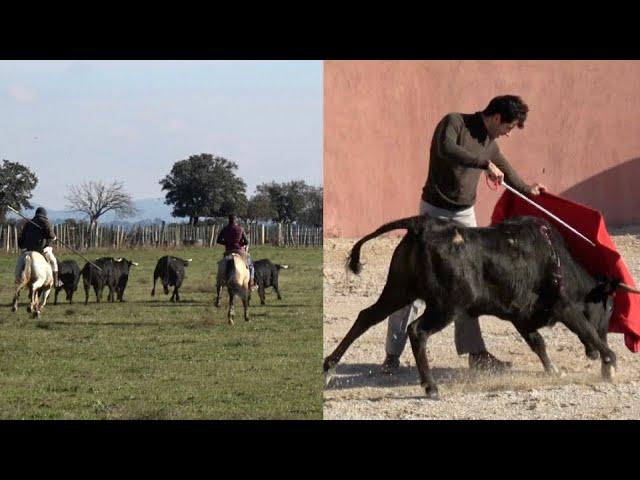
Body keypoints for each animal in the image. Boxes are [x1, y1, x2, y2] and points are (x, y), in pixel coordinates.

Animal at [324, 216, 640, 400]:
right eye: (610, 306)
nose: (591, 356)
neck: (559, 261)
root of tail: (421, 226)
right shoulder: (564, 307)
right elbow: (587, 332)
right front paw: (609, 362)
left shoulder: (521, 315)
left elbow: (538, 343)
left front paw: (554, 370)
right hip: (446, 305)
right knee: (416, 330)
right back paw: (430, 387)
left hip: (398, 290)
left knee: (366, 317)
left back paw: (329, 368)